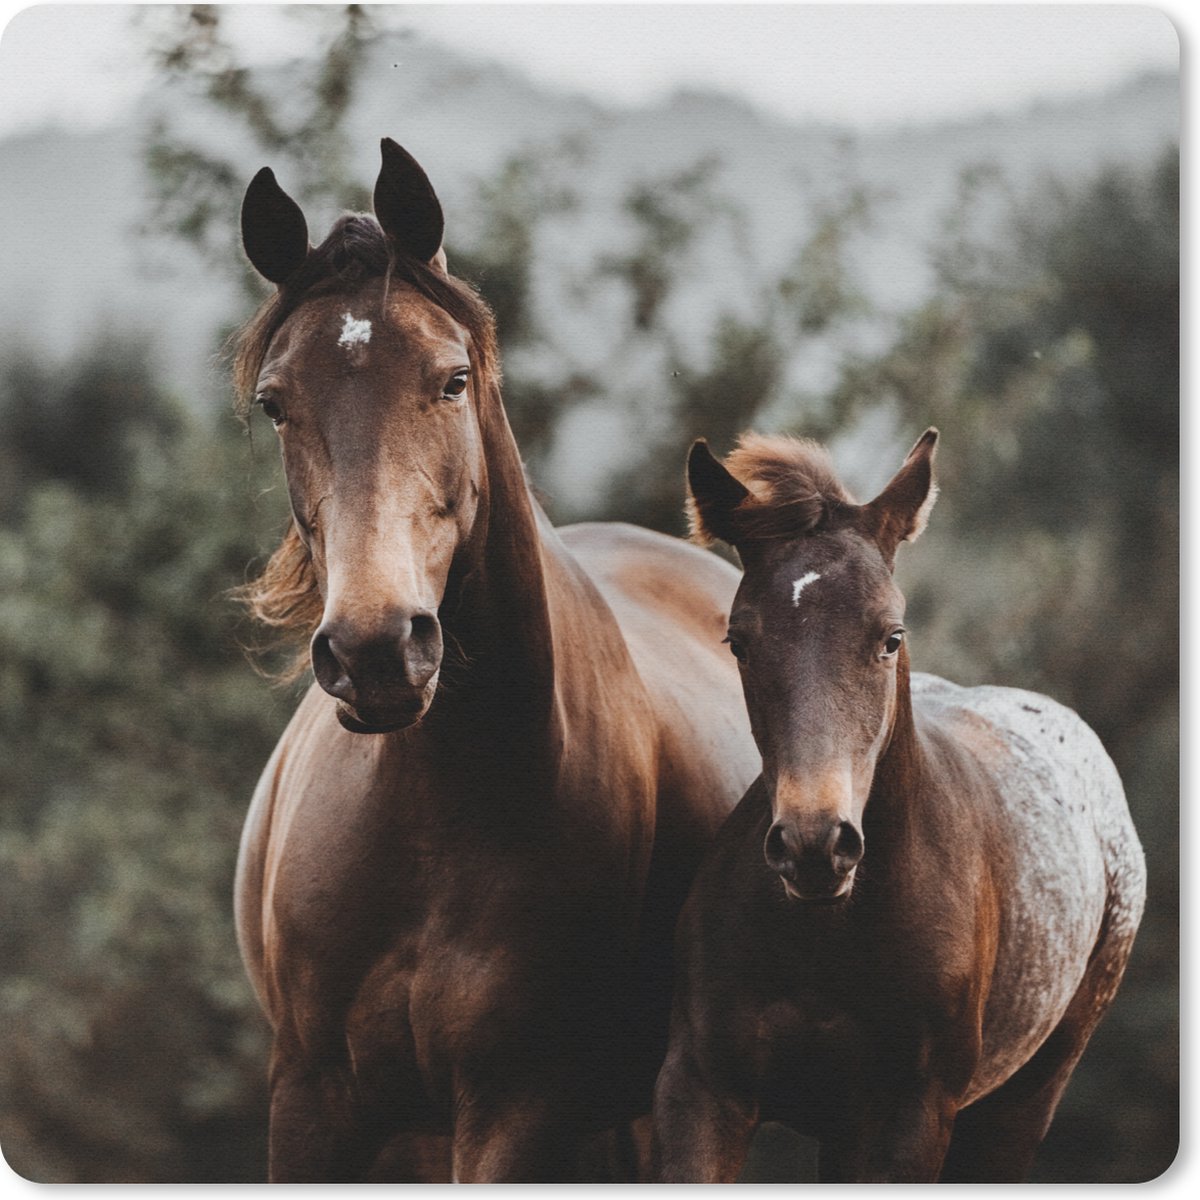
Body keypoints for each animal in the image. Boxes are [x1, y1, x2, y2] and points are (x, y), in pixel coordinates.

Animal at [230, 139, 759, 1181]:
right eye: (276, 404)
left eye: (451, 380)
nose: (376, 649)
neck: (435, 811)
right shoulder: (310, 1102)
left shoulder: (517, 1110)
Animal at [652, 429, 1146, 1182]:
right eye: (739, 640)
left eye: (891, 637)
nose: (814, 845)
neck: (830, 932)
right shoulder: (704, 1090)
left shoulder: (908, 1117)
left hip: (1021, 1103)